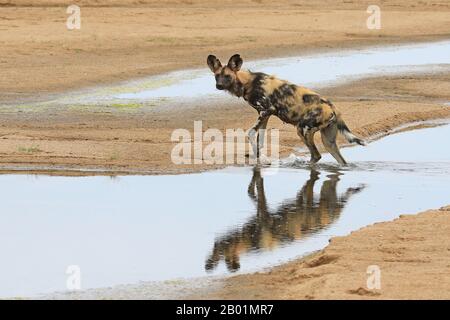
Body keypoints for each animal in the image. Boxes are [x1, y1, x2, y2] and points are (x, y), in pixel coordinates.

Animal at [207, 53, 366, 165]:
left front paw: (259, 158)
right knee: (341, 161)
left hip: (302, 130)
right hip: (328, 142)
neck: (247, 82)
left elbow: (251, 133)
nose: (218, 85)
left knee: (316, 155)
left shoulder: (266, 111)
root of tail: (333, 107)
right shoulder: (264, 115)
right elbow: (260, 140)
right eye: (217, 76)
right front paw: (260, 159)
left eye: (227, 76)